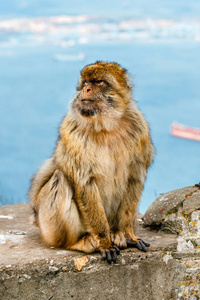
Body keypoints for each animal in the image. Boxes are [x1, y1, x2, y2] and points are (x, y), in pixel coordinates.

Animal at [29, 61, 155, 262]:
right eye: (86, 82)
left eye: (98, 82)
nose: (86, 89)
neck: (106, 125)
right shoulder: (71, 133)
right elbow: (85, 184)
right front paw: (104, 242)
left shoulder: (140, 130)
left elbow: (134, 180)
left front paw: (129, 234)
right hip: (49, 229)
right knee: (59, 179)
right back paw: (80, 242)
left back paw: (117, 233)